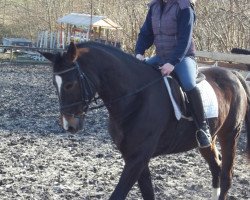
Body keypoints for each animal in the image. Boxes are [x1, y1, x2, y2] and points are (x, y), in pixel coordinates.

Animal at [40, 41, 249, 200]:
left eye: (70, 84)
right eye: (54, 84)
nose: (69, 125)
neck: (135, 98)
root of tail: (234, 74)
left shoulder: (138, 158)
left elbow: (118, 194)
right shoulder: (134, 156)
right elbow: (148, 192)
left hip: (230, 135)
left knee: (226, 175)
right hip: (206, 140)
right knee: (216, 167)